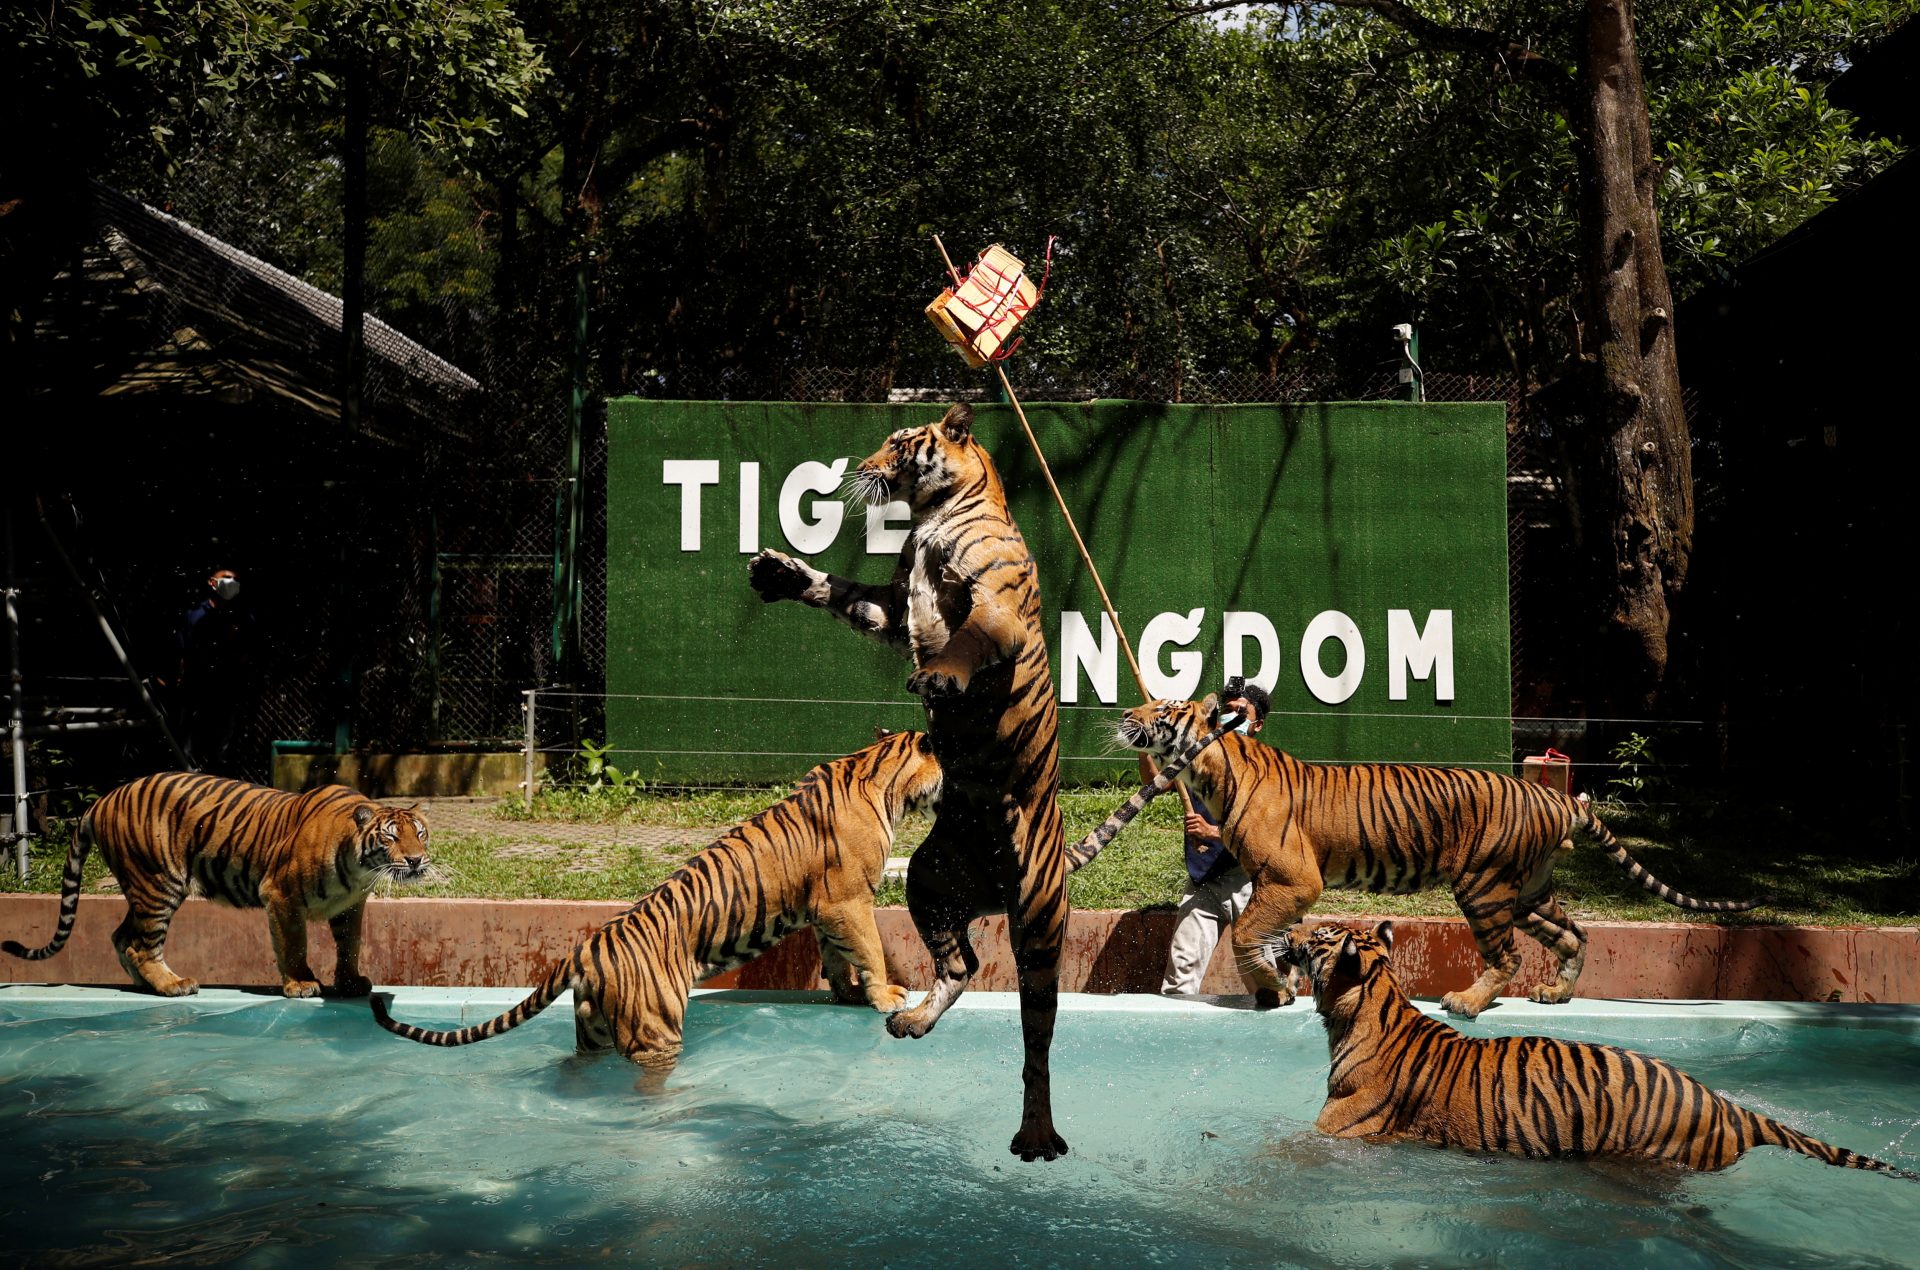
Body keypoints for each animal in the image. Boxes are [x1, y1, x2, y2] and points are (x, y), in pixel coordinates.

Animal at [2, 773, 431, 999]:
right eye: (390, 837)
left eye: (420, 833)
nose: (415, 860)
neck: (360, 870)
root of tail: (102, 799)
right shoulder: (281, 896)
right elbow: (294, 944)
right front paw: (301, 983)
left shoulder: (349, 906)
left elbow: (350, 945)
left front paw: (350, 982)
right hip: (158, 884)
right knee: (142, 946)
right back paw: (174, 984)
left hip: (141, 888)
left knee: (122, 937)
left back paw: (147, 985)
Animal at [371, 729, 942, 1078]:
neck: (883, 776)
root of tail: (585, 948)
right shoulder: (848, 900)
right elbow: (868, 948)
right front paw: (886, 997)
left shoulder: (826, 907)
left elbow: (837, 955)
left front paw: (847, 995)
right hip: (654, 1024)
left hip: (594, 1030)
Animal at [747, 400, 1071, 1162]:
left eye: (898, 444)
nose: (861, 467)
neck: (929, 520)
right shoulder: (892, 608)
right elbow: (843, 594)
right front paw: (781, 574)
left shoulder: (992, 605)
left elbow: (966, 641)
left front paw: (940, 678)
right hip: (930, 879)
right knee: (964, 966)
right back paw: (912, 1021)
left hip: (1038, 925)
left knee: (1037, 1044)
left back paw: (1036, 1135)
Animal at [1108, 693, 1759, 1017]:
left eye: (1162, 709)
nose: (1124, 714)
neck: (1211, 770)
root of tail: (1553, 795)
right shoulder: (1276, 884)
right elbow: (1270, 935)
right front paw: (1278, 987)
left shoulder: (1293, 880)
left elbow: (1247, 933)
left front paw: (1270, 988)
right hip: (1529, 892)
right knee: (1574, 936)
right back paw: (1556, 994)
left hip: (1485, 887)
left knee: (1509, 955)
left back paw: (1466, 1002)